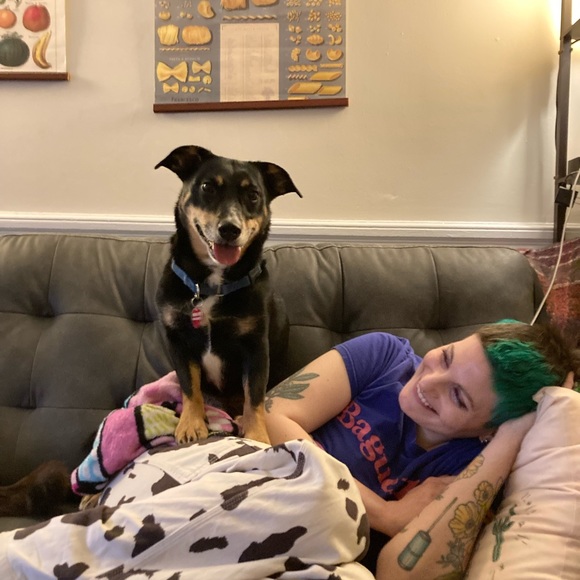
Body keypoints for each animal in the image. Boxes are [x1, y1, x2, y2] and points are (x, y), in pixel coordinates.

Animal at [155, 145, 302, 445]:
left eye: (254, 195)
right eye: (207, 187)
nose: (230, 229)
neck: (211, 284)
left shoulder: (255, 347)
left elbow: (254, 396)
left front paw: (256, 436)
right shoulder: (179, 340)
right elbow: (189, 386)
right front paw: (191, 424)